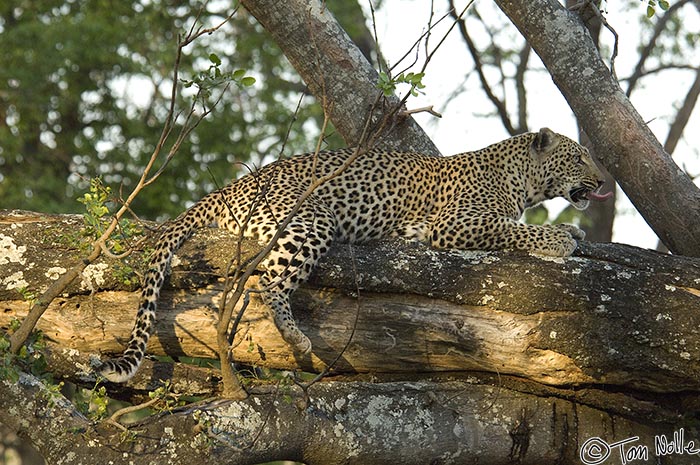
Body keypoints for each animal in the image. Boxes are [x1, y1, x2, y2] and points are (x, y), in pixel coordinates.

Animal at [98, 127, 612, 380]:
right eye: (578, 156)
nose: (604, 180)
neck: (521, 177)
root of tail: (231, 187)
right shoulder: (456, 223)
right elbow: (511, 229)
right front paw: (562, 237)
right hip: (309, 221)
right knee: (267, 280)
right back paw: (295, 336)